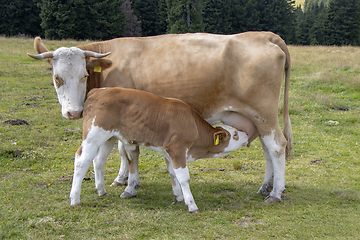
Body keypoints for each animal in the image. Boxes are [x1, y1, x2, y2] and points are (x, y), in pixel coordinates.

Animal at [70, 87, 248, 213]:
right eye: (234, 134)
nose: (246, 134)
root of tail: (98, 90)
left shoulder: (168, 151)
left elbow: (173, 173)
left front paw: (179, 196)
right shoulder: (177, 149)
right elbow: (184, 177)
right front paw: (191, 205)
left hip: (109, 138)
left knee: (98, 161)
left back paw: (101, 190)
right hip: (93, 135)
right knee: (81, 160)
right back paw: (75, 199)